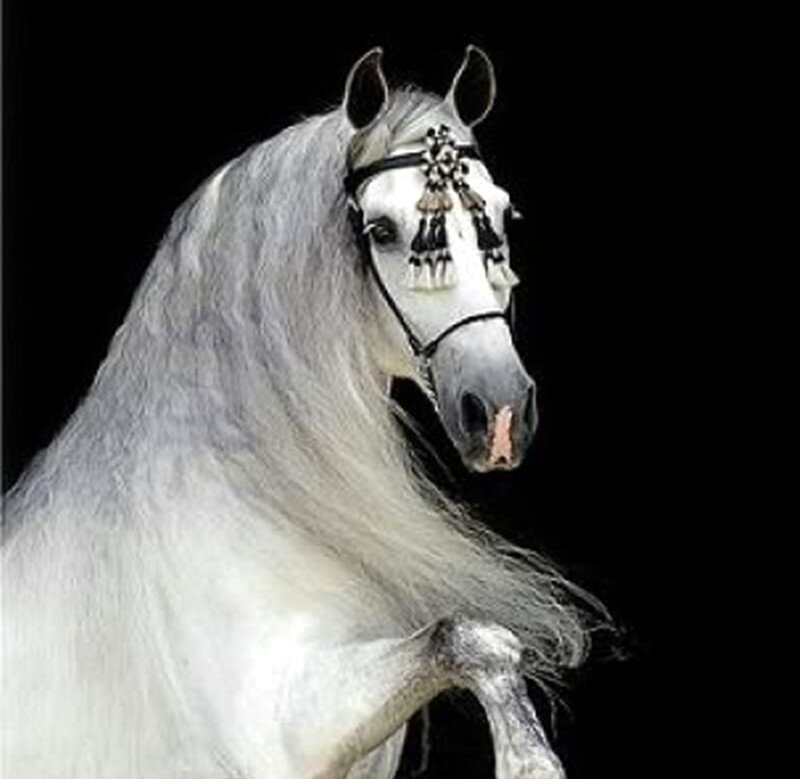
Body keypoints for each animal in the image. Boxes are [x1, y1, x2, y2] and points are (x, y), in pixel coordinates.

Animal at [1, 46, 601, 778]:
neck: (238, 496)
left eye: (501, 216)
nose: (502, 412)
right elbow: (472, 635)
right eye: (381, 229)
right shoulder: (286, 724)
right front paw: (529, 762)